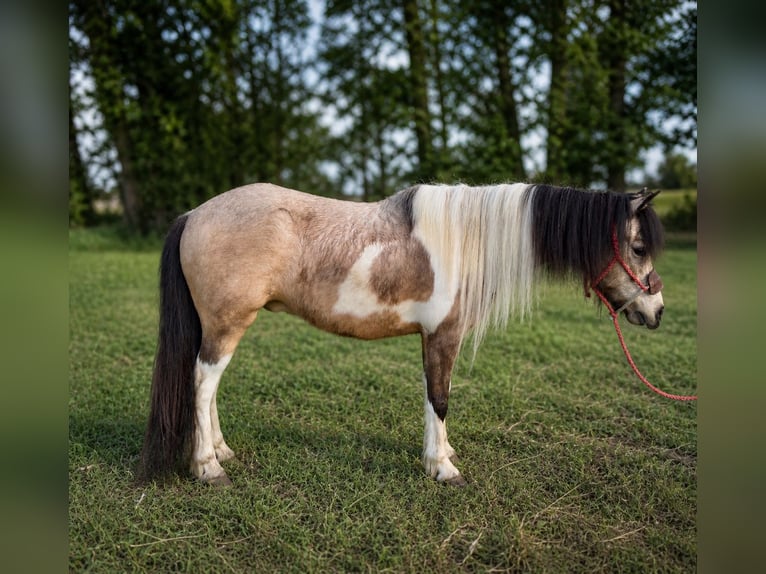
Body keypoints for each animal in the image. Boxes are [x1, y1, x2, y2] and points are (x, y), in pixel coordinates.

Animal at [138, 182, 665, 487]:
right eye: (638, 247)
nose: (657, 310)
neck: (465, 242)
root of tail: (194, 215)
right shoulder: (442, 336)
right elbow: (440, 399)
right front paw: (443, 469)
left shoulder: (433, 338)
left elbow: (434, 398)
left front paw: (441, 455)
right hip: (226, 324)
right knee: (202, 383)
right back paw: (208, 468)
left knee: (207, 387)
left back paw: (221, 450)